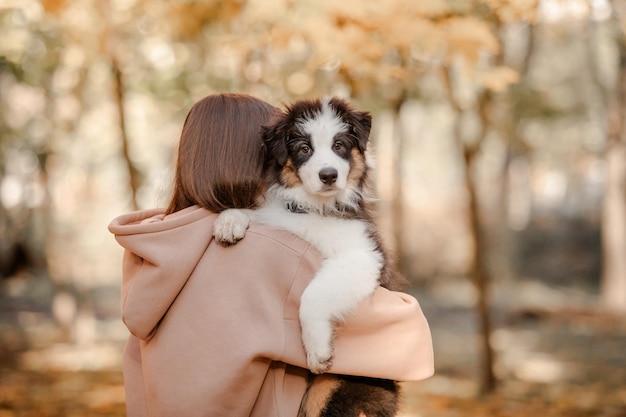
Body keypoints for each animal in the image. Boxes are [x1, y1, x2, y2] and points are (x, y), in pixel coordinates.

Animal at [212, 96, 402, 414]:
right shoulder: (284, 218)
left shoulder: (363, 255)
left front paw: (316, 349)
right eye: (304, 149)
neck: (318, 209)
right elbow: (261, 213)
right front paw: (229, 220)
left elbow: (312, 296)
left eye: (339, 145)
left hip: (333, 387)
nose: (329, 175)